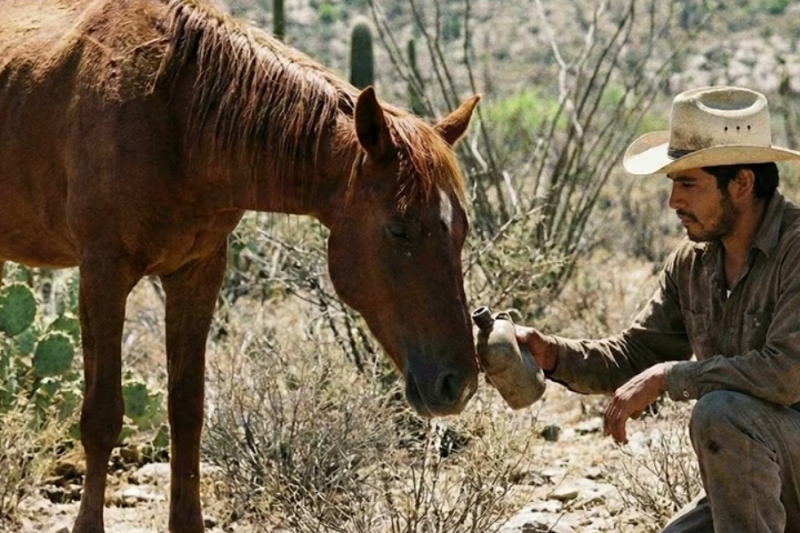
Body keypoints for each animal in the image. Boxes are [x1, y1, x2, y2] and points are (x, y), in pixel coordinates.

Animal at [0, 0, 480, 531]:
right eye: (400, 229)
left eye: (462, 228)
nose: (457, 384)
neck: (169, 111)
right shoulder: (103, 273)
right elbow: (102, 417)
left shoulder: (198, 273)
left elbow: (187, 410)